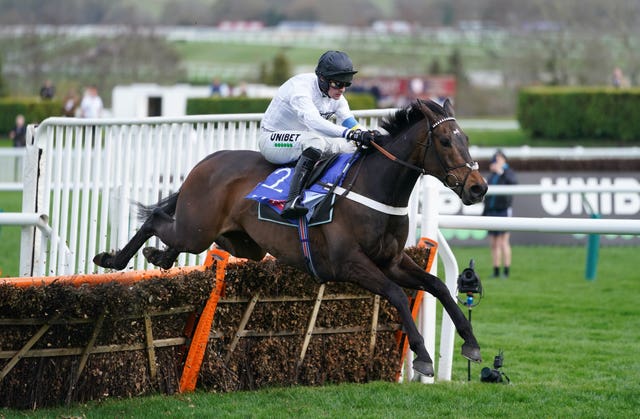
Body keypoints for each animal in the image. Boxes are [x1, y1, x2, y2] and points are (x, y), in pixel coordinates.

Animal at [94, 98, 484, 378]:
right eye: (445, 141)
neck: (374, 188)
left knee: (171, 232)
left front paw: (471, 342)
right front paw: (422, 355)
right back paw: (114, 259)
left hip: (236, 241)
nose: (478, 188)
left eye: (466, 139)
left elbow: (438, 286)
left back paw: (159, 257)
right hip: (196, 231)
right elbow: (397, 295)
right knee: (156, 220)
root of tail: (205, 162)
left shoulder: (391, 260)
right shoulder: (350, 264)